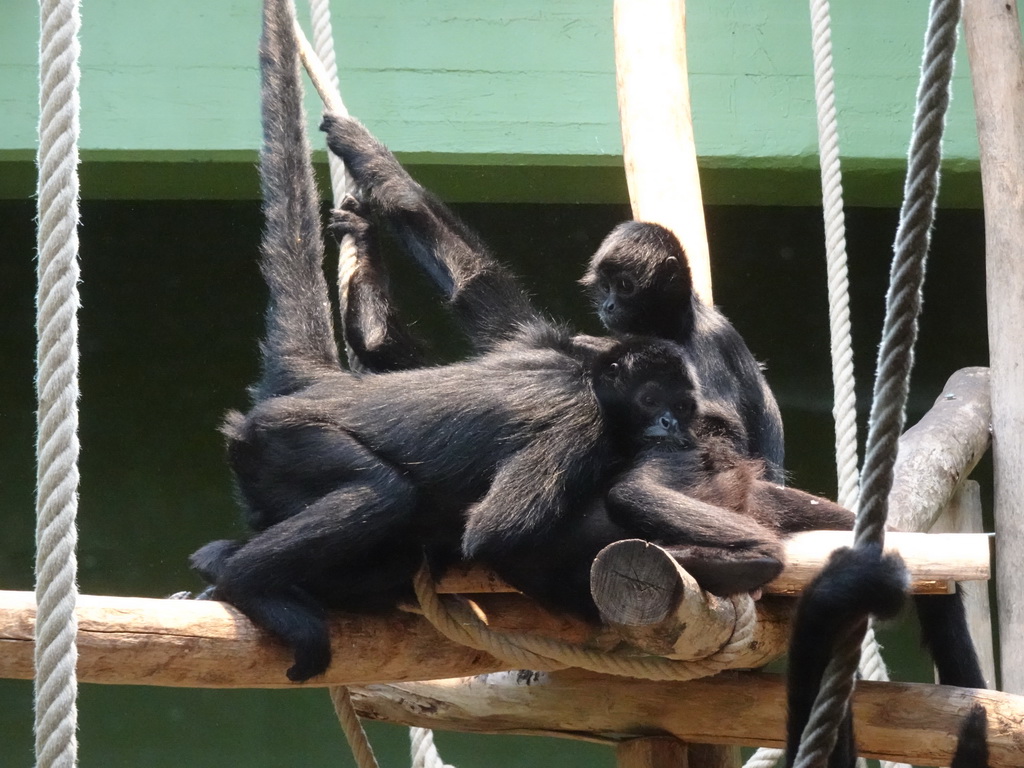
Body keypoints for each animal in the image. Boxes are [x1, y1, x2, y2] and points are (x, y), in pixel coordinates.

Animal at [317, 117, 983, 696]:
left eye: (624, 285)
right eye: (605, 287)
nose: (609, 306)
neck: (672, 325)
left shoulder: (703, 343)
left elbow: (713, 428)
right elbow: (475, 294)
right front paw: (365, 173)